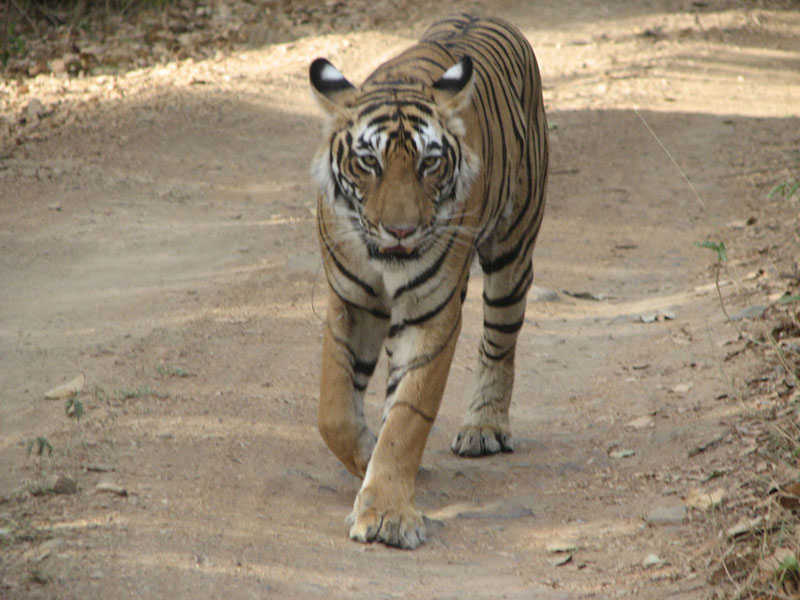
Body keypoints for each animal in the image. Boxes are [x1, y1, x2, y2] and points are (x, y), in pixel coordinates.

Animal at [309, 13, 548, 549]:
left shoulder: (431, 313)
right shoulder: (351, 302)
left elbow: (408, 415)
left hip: (512, 251)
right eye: (369, 162)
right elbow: (335, 411)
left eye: (429, 163)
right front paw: (365, 453)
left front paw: (387, 513)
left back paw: (484, 426)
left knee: (499, 342)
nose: (401, 231)